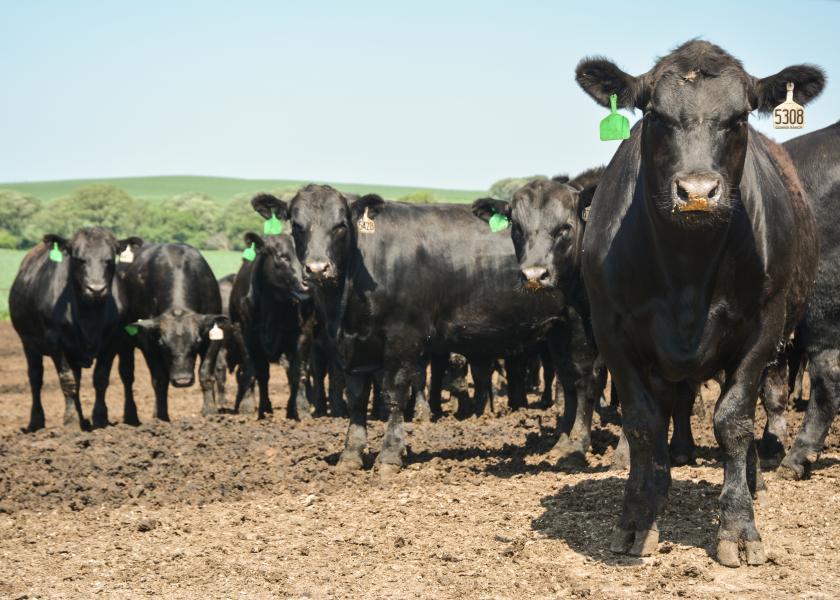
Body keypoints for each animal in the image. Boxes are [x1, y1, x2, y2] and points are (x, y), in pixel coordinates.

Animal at [118, 241, 228, 420]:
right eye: (162, 343)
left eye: (197, 341)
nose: (182, 380)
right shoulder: (147, 340)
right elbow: (159, 379)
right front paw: (162, 417)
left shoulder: (213, 335)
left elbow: (205, 373)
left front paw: (210, 411)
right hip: (123, 342)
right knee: (127, 375)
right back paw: (132, 415)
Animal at [228, 195, 314, 420]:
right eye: (281, 256)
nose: (308, 281)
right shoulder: (244, 332)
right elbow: (254, 370)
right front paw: (251, 408)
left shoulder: (304, 334)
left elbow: (299, 372)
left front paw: (301, 409)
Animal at [288, 183, 596, 474]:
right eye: (297, 226)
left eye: (340, 225)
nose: (317, 268)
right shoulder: (352, 347)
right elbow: (356, 398)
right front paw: (350, 455)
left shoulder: (403, 337)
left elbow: (395, 393)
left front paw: (389, 455)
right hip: (557, 333)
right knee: (568, 382)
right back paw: (561, 444)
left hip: (579, 327)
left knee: (584, 381)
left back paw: (578, 446)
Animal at [576, 39, 824, 564]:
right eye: (655, 115)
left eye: (739, 116)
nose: (696, 192)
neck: (686, 265)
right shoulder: (613, 332)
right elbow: (643, 423)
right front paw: (637, 518)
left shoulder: (762, 330)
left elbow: (733, 420)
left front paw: (739, 527)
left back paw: (752, 481)